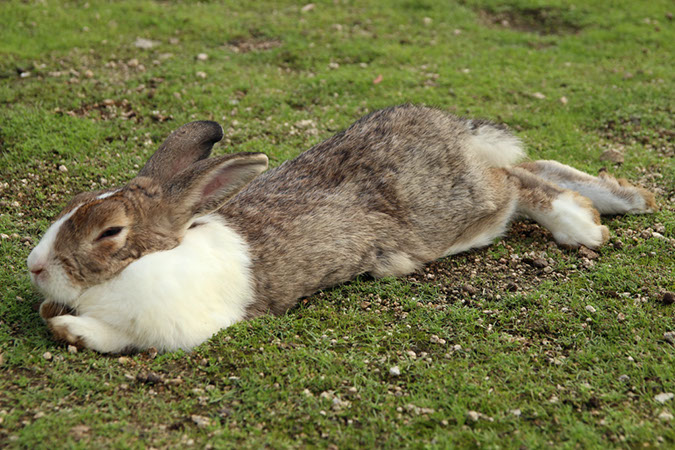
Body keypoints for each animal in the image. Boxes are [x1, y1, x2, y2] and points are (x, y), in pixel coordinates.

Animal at [27, 105, 656, 354]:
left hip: (457, 214)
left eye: (110, 233)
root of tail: (455, 130)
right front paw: (65, 326)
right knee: (528, 165)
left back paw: (583, 223)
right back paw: (624, 199)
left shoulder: (185, 325)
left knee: (516, 181)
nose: (35, 267)